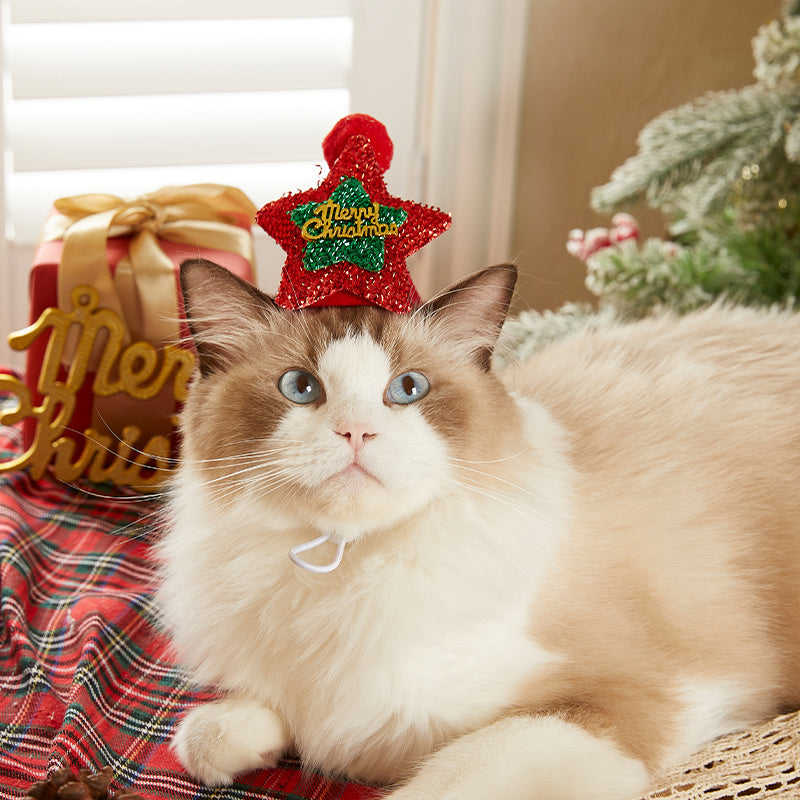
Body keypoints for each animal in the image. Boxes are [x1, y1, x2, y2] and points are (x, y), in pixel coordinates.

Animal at [155, 258, 800, 800]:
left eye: (408, 389)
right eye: (300, 387)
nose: (356, 432)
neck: (347, 567)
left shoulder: (630, 700)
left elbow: (443, 778)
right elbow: (213, 734)